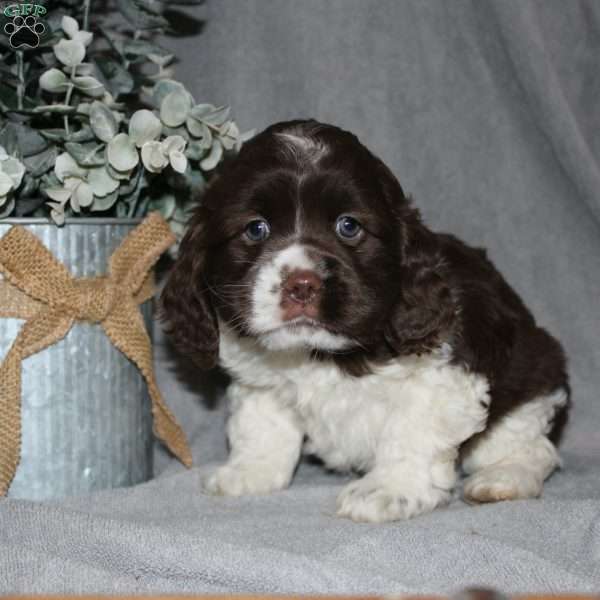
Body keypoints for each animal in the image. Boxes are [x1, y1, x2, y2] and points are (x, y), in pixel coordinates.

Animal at [162, 120, 568, 520]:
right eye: (255, 228)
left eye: (348, 226)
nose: (301, 285)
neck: (318, 352)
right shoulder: (260, 380)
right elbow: (261, 425)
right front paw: (249, 472)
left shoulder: (446, 374)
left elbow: (411, 429)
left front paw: (389, 490)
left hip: (527, 382)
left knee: (535, 449)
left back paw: (503, 479)